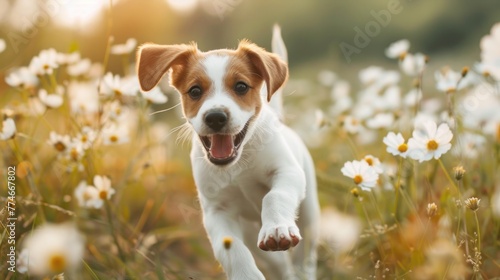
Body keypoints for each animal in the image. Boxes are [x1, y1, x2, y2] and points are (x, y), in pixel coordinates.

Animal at [135, 26, 318, 280]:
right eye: (195, 91)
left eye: (241, 87)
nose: (215, 117)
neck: (237, 165)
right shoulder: (216, 211)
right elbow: (229, 248)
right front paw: (246, 274)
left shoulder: (287, 172)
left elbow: (274, 196)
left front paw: (275, 227)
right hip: (254, 239)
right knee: (280, 266)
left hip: (309, 214)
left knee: (304, 256)